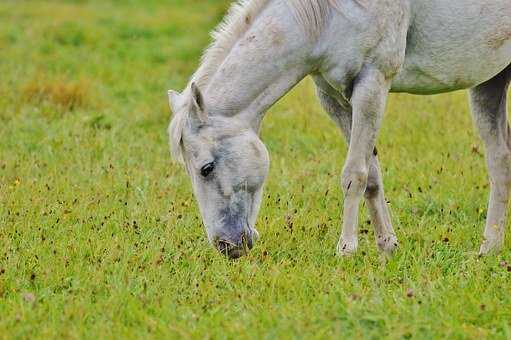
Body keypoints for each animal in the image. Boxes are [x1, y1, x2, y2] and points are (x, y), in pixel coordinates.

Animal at [169, 0, 511, 258]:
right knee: (500, 161)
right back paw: (489, 248)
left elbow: (354, 175)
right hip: (489, 83)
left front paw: (346, 248)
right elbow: (371, 176)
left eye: (206, 168)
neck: (325, 15)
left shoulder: (372, 85)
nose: (225, 246)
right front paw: (387, 246)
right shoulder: (332, 95)